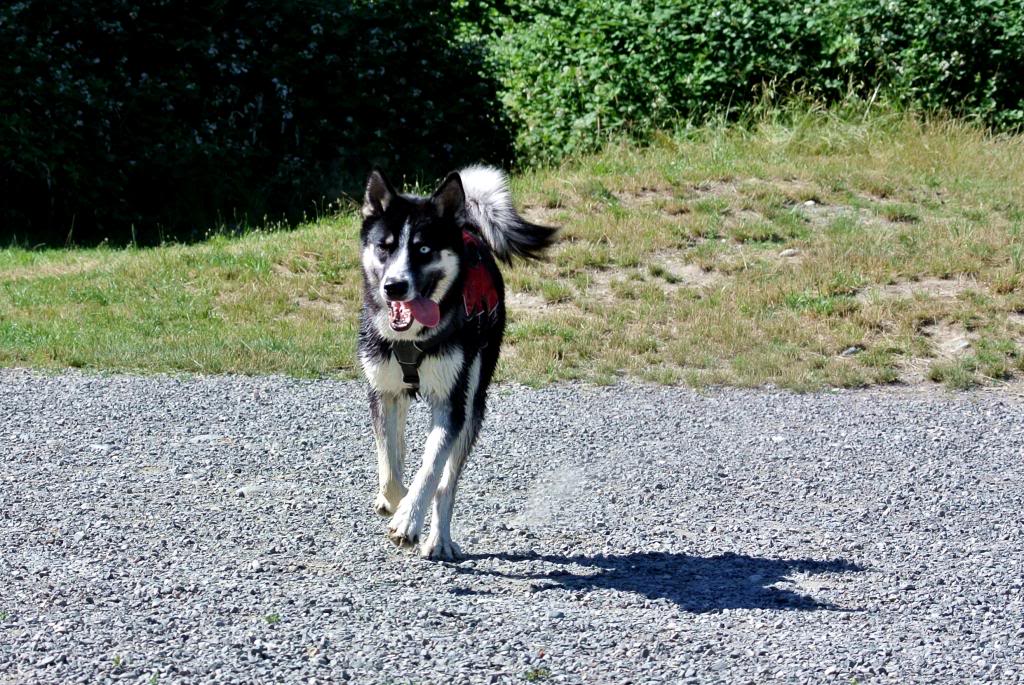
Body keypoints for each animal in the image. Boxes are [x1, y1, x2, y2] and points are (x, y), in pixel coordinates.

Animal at [356, 166, 557, 561]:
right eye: (384, 247)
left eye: (423, 249)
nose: (394, 287)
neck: (412, 339)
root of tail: (466, 228)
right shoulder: (381, 391)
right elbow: (389, 461)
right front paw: (395, 501)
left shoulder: (453, 404)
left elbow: (431, 470)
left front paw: (408, 519)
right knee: (400, 444)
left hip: (474, 401)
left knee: (446, 483)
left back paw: (439, 539)